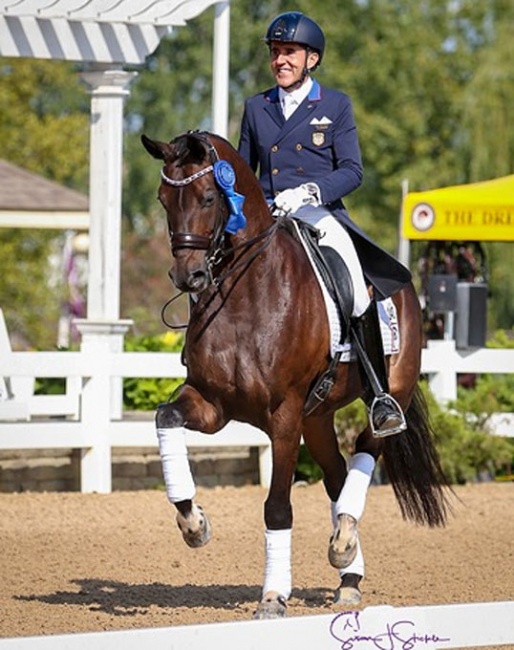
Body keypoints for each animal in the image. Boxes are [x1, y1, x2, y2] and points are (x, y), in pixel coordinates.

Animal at [140, 128, 448, 616]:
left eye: (208, 197)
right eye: (163, 199)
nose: (188, 277)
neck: (245, 294)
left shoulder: (283, 417)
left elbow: (277, 507)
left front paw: (272, 596)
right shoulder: (211, 404)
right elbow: (166, 418)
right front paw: (193, 524)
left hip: (388, 393)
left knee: (368, 447)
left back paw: (344, 541)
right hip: (317, 418)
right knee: (338, 476)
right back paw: (348, 571)